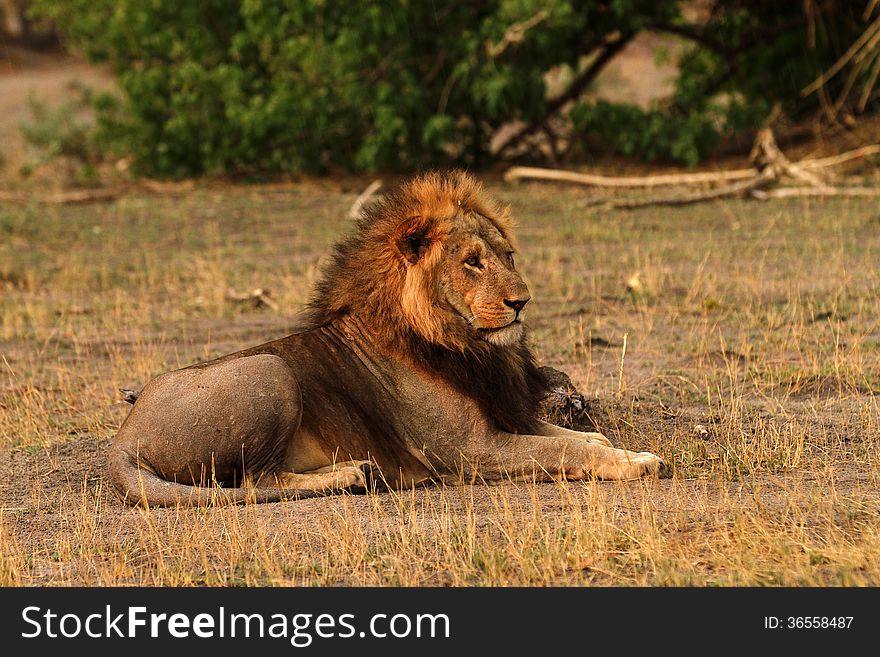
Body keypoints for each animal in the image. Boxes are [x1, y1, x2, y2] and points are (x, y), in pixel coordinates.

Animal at [113, 172, 672, 504]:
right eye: (472, 262)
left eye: (507, 256)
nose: (522, 302)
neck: (468, 347)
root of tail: (122, 440)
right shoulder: (468, 450)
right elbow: (569, 453)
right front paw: (639, 464)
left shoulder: (504, 415)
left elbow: (581, 438)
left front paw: (617, 447)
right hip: (267, 370)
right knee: (257, 479)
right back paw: (352, 475)